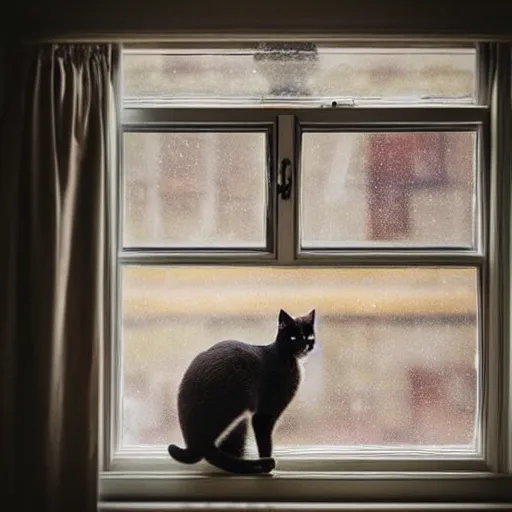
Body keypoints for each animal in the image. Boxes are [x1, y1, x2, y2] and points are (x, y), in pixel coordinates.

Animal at [169, 306, 316, 474]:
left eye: (309, 337)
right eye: (293, 338)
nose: (305, 347)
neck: (287, 359)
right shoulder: (264, 414)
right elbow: (265, 443)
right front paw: (267, 465)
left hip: (239, 422)